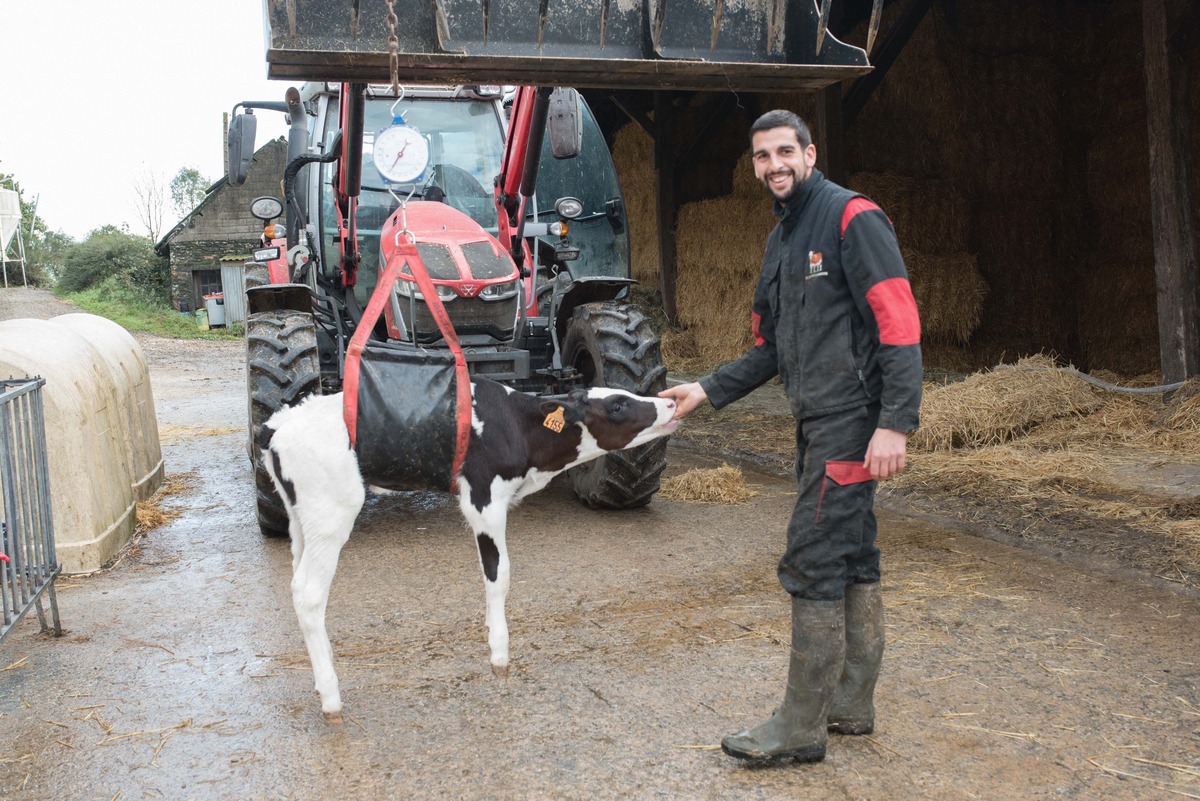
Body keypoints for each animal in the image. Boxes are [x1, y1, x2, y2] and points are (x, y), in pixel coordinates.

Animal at [261, 376, 676, 719]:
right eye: (617, 406)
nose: (671, 403)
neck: (517, 427)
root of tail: (280, 423)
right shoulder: (484, 499)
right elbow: (499, 574)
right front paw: (500, 654)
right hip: (332, 512)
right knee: (309, 594)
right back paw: (331, 697)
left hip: (302, 519)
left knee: (297, 580)